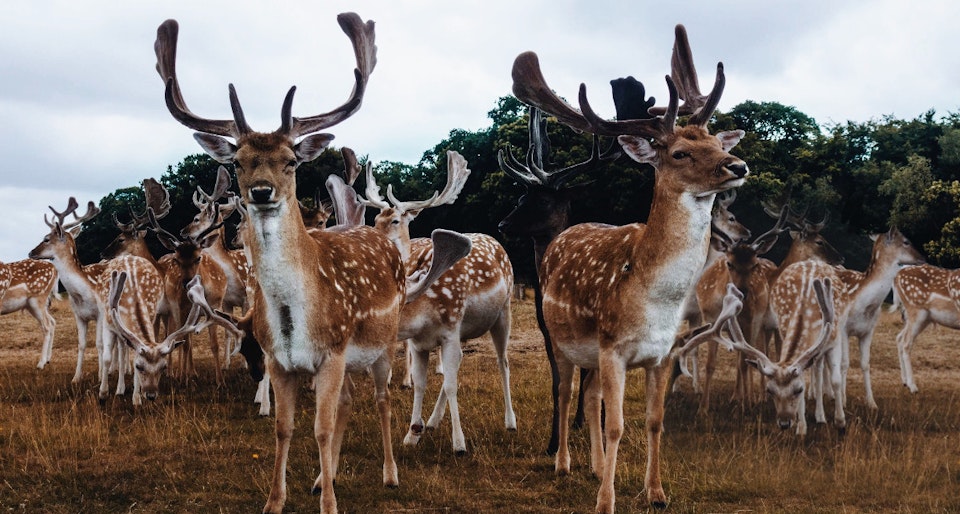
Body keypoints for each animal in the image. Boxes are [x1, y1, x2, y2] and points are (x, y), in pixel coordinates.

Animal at [155, 13, 409, 513]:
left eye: (291, 160)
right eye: (238, 161)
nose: (260, 191)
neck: (297, 317)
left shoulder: (332, 352)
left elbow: (321, 428)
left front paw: (329, 505)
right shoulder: (279, 360)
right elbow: (284, 427)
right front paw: (277, 500)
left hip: (384, 343)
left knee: (382, 397)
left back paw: (389, 474)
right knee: (350, 400)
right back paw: (322, 477)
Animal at [362, 150, 516, 454]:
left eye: (395, 221)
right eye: (375, 220)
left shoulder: (450, 331)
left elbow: (452, 384)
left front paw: (459, 443)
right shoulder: (421, 342)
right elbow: (424, 384)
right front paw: (412, 433)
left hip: (503, 312)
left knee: (502, 362)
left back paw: (510, 421)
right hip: (466, 330)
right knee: (455, 370)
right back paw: (432, 422)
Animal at [512, 24, 749, 512]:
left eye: (716, 143)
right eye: (678, 153)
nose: (737, 164)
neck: (654, 300)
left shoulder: (663, 352)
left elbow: (654, 421)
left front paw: (655, 492)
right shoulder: (613, 348)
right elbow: (617, 424)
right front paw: (607, 502)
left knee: (589, 398)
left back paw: (595, 467)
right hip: (562, 337)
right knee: (566, 392)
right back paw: (563, 463)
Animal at [834, 227, 924, 409]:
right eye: (906, 241)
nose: (922, 258)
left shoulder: (868, 331)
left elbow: (865, 364)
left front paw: (872, 403)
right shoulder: (845, 329)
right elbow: (845, 364)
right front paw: (844, 401)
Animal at [889, 264, 960, 393]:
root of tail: (897, 275)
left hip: (921, 318)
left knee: (899, 337)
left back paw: (905, 382)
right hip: (916, 310)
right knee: (906, 342)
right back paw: (913, 386)